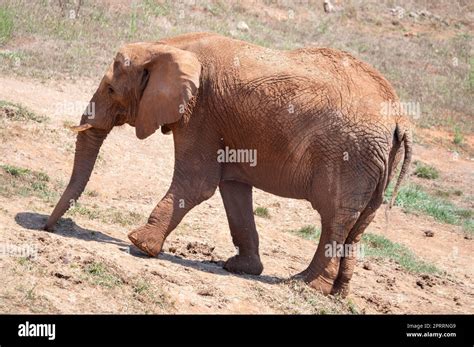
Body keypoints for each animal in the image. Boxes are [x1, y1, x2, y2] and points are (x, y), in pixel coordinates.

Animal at [46, 32, 412, 298]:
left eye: (110, 88)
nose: (48, 228)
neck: (168, 46)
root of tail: (399, 118)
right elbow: (232, 188)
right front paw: (240, 268)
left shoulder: (200, 112)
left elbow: (199, 182)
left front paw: (137, 243)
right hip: (375, 162)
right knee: (358, 223)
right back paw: (338, 294)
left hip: (351, 157)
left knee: (335, 218)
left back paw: (303, 285)